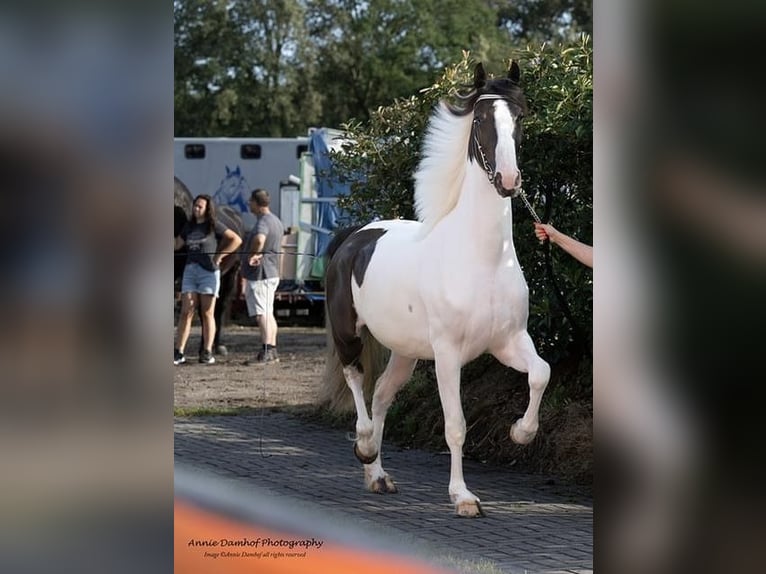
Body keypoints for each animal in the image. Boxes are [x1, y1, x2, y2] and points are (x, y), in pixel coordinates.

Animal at [320, 60, 548, 520]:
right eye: (480, 120)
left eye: (520, 117)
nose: (509, 180)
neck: (483, 259)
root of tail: (355, 236)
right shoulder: (447, 354)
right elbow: (456, 426)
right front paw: (463, 497)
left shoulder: (510, 342)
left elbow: (541, 373)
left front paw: (521, 433)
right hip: (350, 334)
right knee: (357, 384)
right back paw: (365, 448)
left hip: (405, 352)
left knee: (381, 397)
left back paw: (378, 477)